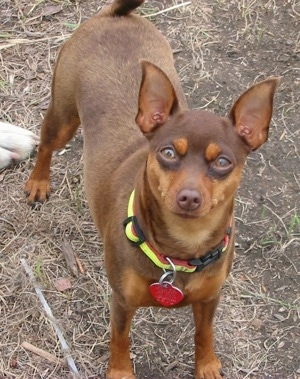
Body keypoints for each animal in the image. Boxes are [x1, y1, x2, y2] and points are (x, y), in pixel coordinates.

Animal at [24, 1, 280, 378]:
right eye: (169, 153)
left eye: (223, 162)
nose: (189, 197)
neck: (182, 248)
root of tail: (116, 16)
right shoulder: (121, 302)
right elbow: (120, 339)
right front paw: (120, 372)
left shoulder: (209, 299)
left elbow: (204, 333)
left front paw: (207, 365)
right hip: (64, 115)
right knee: (45, 145)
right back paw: (38, 181)